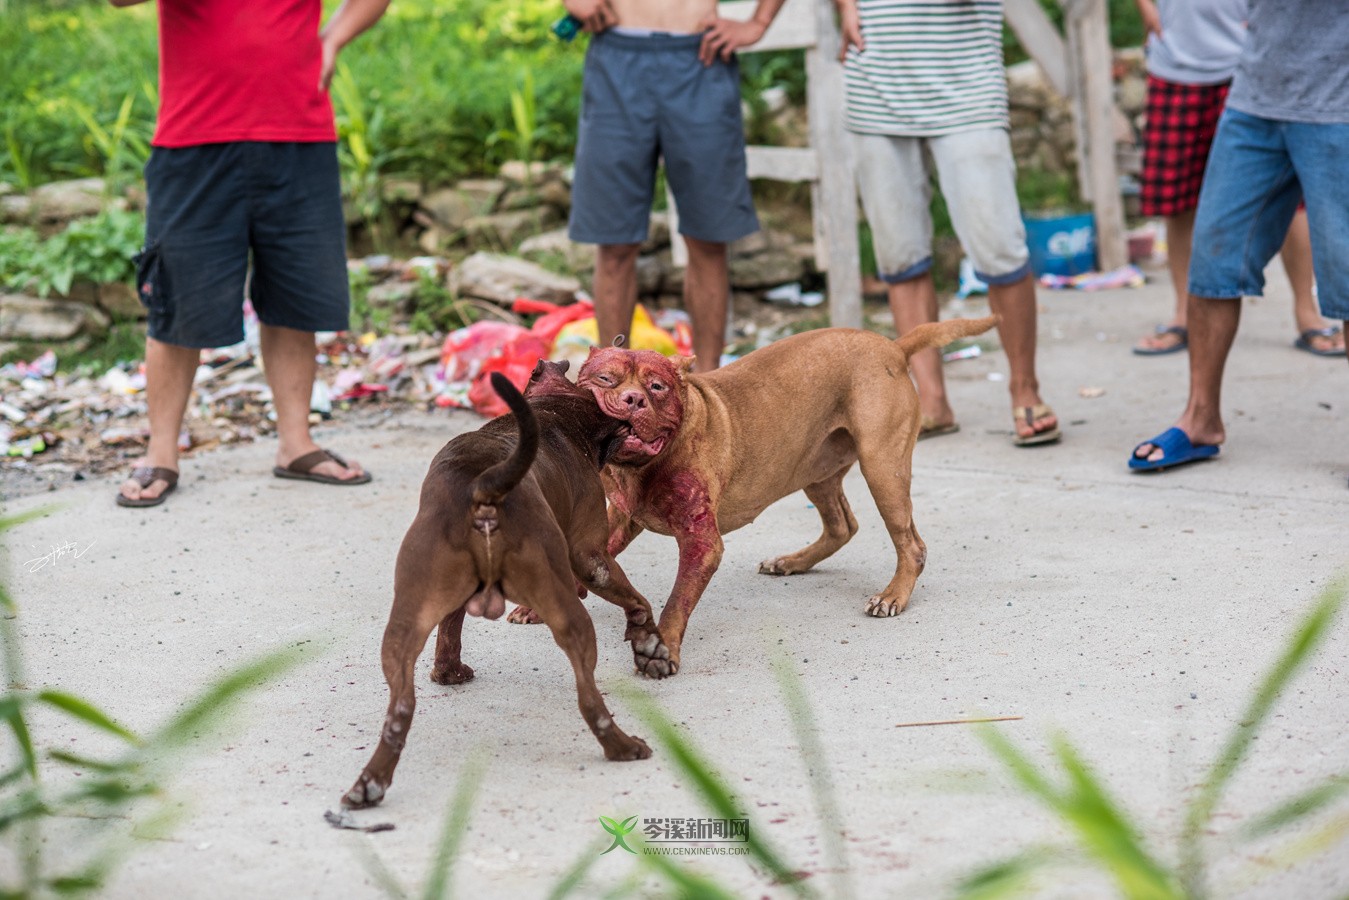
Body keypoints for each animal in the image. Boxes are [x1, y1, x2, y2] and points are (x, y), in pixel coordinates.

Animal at [342, 364, 669, 809]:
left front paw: (448, 673)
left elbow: (450, 630)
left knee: (401, 707)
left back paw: (369, 784)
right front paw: (649, 646)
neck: (555, 414)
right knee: (588, 696)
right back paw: (622, 746)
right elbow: (636, 600)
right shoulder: (590, 557)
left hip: (402, 629)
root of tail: (483, 488)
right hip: (567, 612)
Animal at [561, 319, 1003, 671]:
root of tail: (892, 346)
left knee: (910, 543)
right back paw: (791, 562)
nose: (633, 399)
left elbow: (676, 602)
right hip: (817, 471)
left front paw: (663, 648)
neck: (642, 466)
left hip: (882, 469)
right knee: (842, 526)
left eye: (656, 386)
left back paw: (894, 594)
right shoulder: (621, 517)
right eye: (605, 379)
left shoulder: (701, 543)